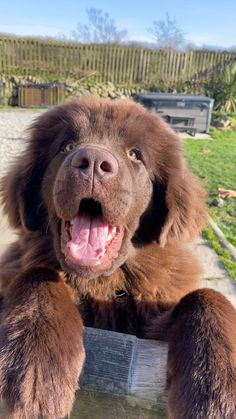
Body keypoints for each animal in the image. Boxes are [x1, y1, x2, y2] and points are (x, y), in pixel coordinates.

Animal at [0, 96, 235, 419]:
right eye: (66, 146)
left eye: (135, 154)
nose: (92, 163)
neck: (103, 285)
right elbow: (38, 274)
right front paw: (36, 374)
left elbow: (206, 295)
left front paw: (216, 391)